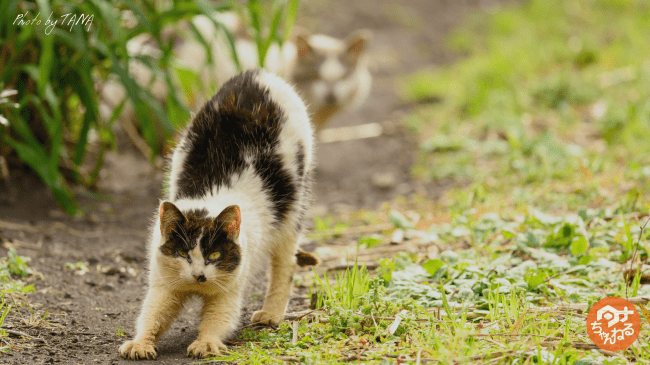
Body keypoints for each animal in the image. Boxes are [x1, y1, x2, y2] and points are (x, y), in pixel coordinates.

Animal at [119, 69, 318, 358]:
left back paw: (270, 315)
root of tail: (258, 74)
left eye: (214, 255)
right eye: (182, 253)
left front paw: (206, 343)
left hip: (293, 208)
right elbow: (153, 314)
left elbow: (219, 317)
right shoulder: (163, 283)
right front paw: (140, 344)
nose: (199, 275)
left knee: (286, 263)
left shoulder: (230, 290)